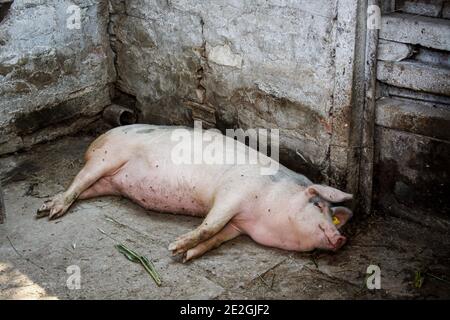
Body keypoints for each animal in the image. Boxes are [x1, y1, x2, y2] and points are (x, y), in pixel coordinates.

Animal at [37, 124, 354, 262]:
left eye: (332, 215)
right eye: (317, 205)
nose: (341, 238)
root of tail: (98, 138)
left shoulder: (237, 228)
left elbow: (215, 239)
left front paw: (187, 255)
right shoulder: (232, 193)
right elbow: (209, 225)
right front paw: (174, 248)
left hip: (107, 182)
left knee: (84, 188)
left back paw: (47, 206)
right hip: (107, 157)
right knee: (78, 180)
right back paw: (50, 211)